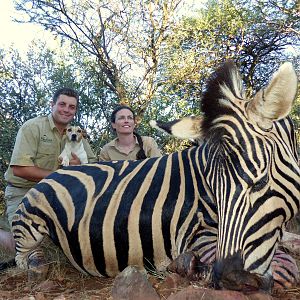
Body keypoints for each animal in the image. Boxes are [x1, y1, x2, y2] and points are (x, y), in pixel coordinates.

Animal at [2, 61, 300, 292]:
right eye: (213, 188)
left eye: (261, 182)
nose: (231, 279)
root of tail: (52, 175)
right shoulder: (197, 233)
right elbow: (285, 267)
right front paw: (190, 267)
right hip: (30, 225)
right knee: (22, 256)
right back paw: (36, 264)